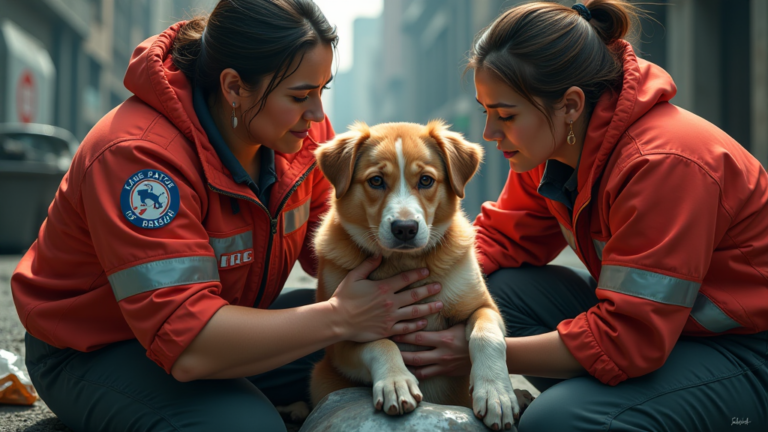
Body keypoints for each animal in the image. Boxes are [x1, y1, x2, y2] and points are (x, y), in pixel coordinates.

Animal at [310, 120, 520, 428]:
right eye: (376, 181)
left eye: (426, 180)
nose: (405, 228)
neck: (404, 263)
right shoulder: (341, 342)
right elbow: (380, 342)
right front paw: (396, 382)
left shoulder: (484, 307)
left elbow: (486, 336)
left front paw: (496, 393)